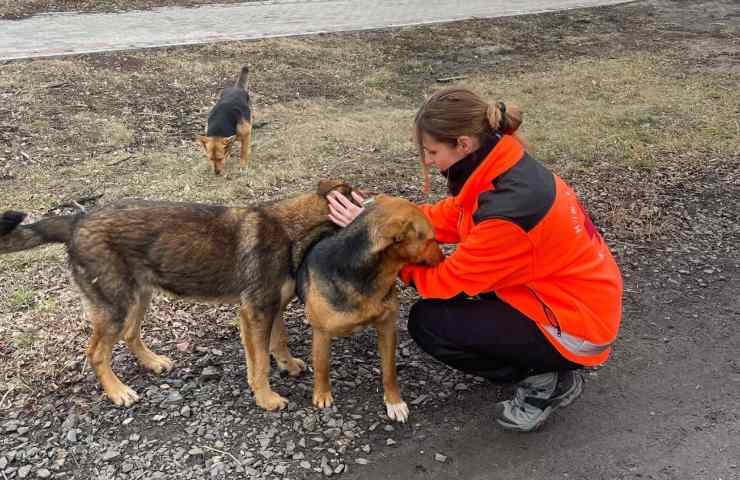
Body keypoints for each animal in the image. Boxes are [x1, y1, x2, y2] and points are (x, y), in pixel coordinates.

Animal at [0, 180, 354, 408]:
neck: (291, 227)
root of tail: (78, 219)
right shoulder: (255, 312)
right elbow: (259, 364)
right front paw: (266, 398)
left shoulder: (272, 307)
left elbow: (278, 342)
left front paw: (288, 365)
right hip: (116, 305)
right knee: (97, 353)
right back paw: (117, 391)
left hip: (139, 296)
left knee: (130, 334)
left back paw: (152, 362)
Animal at [296, 194, 446, 420]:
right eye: (430, 239)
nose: (444, 258)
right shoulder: (321, 333)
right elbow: (322, 367)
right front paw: (322, 394)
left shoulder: (387, 326)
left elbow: (390, 371)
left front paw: (394, 402)